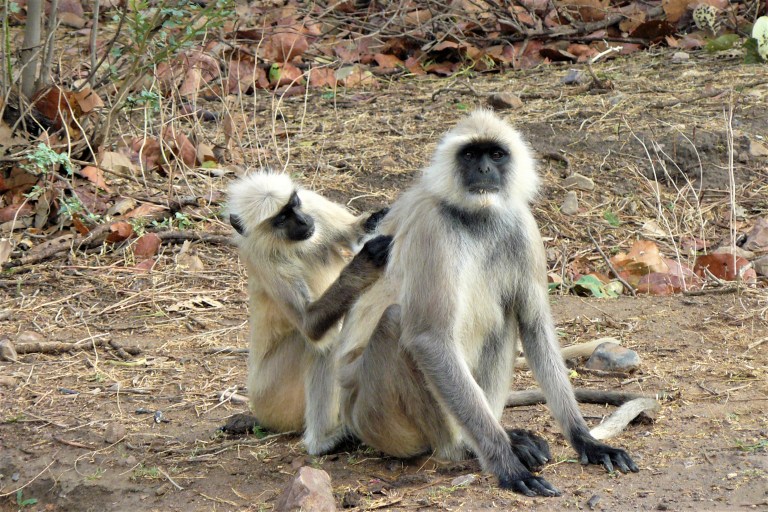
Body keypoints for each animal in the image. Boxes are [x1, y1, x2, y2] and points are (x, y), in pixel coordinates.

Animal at [223, 170, 390, 455]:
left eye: (294, 205)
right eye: (281, 219)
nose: (302, 221)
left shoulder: (313, 207)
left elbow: (353, 233)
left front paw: (377, 218)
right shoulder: (265, 259)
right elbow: (310, 326)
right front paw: (365, 262)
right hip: (272, 394)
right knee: (323, 346)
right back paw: (322, 442)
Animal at [333, 110, 639, 497]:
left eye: (495, 155)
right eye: (469, 155)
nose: (483, 170)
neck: (476, 217)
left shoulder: (522, 224)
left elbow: (533, 325)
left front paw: (586, 440)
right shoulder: (433, 226)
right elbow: (429, 339)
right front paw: (505, 464)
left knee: (505, 317)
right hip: (375, 417)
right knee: (394, 323)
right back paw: (464, 447)